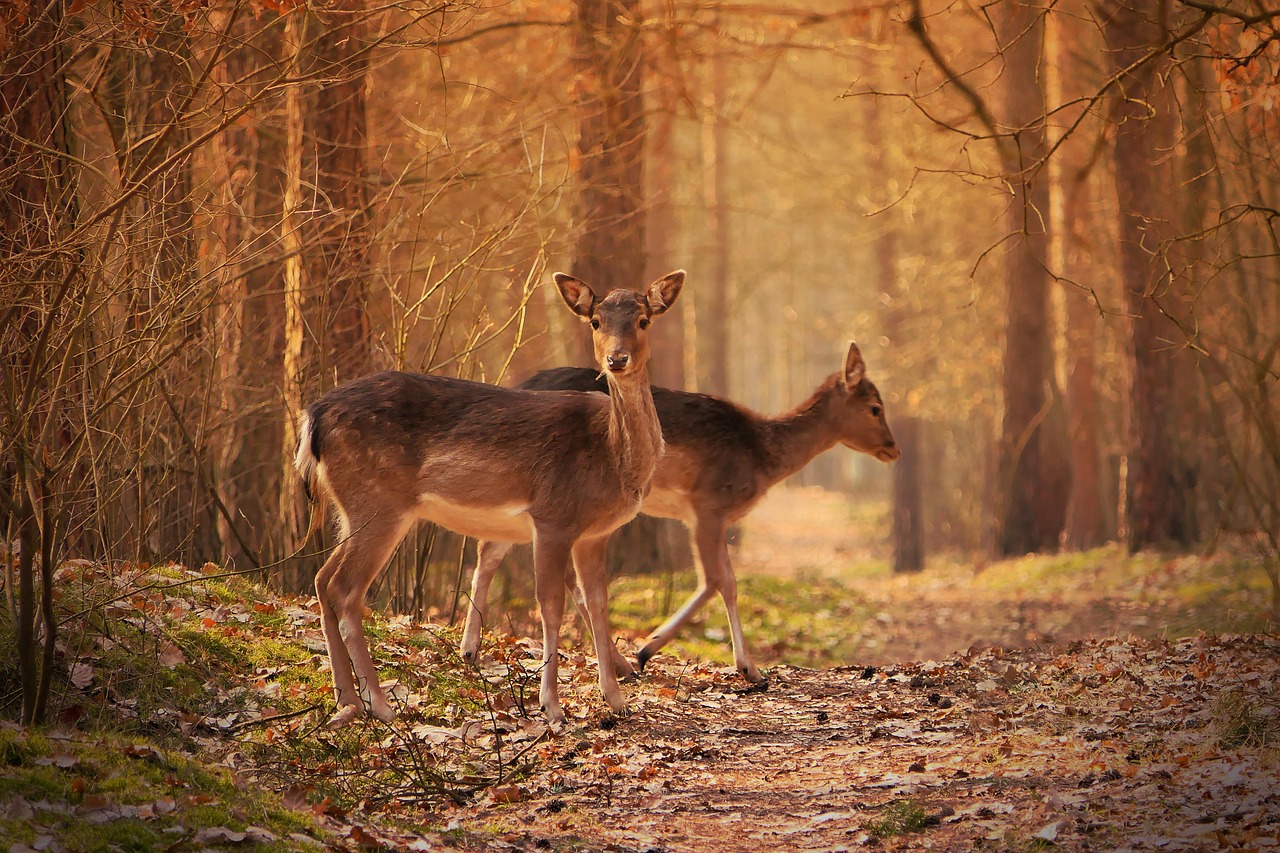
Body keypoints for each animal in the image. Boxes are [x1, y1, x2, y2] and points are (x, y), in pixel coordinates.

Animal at [294, 270, 684, 729]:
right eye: (595, 321)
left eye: (643, 320)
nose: (616, 360)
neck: (610, 456)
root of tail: (313, 416)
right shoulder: (552, 517)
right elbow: (551, 607)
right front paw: (552, 706)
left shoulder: (594, 534)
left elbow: (598, 604)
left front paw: (616, 701)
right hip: (379, 501)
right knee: (345, 589)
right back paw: (380, 703)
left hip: (351, 509)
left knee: (323, 579)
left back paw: (347, 700)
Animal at [460, 342, 899, 684]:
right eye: (875, 407)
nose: (893, 448)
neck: (761, 456)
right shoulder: (709, 504)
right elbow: (723, 581)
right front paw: (747, 668)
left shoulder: (699, 514)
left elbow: (715, 579)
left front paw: (648, 649)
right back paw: (618, 663)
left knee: (491, 550)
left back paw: (470, 651)